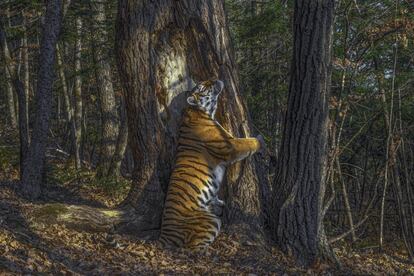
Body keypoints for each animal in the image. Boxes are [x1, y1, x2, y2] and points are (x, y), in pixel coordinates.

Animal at [158, 78, 266, 249]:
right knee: (193, 247)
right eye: (203, 87)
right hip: (210, 221)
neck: (200, 111)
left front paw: (219, 200)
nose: (215, 79)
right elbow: (248, 142)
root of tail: (163, 235)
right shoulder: (229, 145)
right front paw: (261, 140)